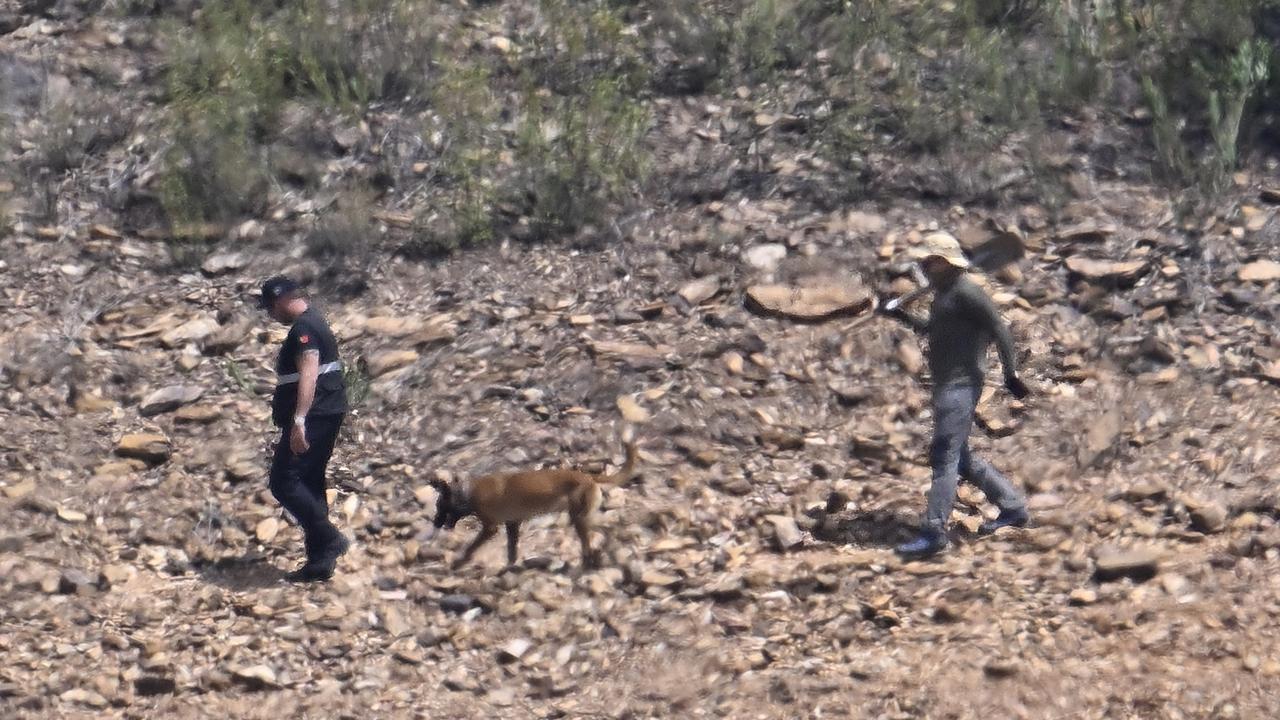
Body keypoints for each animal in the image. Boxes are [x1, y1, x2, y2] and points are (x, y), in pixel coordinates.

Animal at [432, 435, 637, 568]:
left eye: (440, 506)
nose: (435, 524)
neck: (468, 493)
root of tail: (588, 477)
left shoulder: (490, 528)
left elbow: (472, 546)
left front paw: (461, 561)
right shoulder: (512, 524)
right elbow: (511, 549)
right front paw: (510, 566)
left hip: (579, 519)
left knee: (590, 544)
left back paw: (589, 562)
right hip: (584, 517)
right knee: (607, 530)